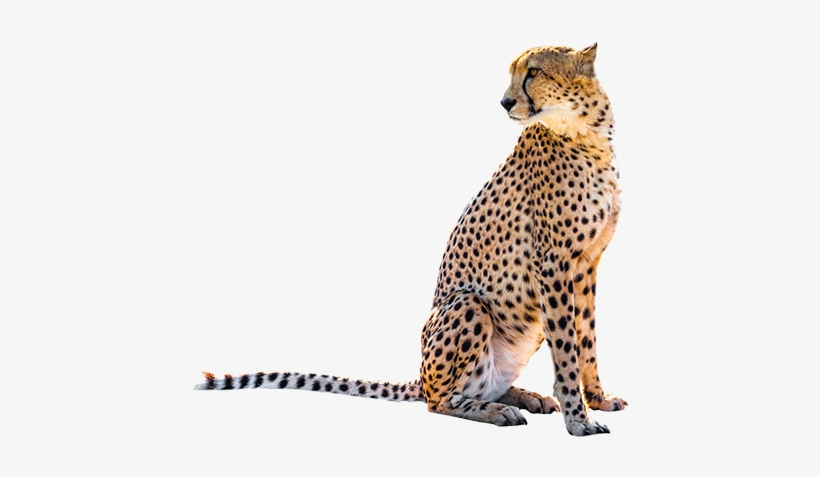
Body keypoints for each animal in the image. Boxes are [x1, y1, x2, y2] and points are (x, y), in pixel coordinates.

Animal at [195, 43, 628, 436]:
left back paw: (525, 396)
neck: (587, 134)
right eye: (513, 73)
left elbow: (585, 338)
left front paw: (597, 400)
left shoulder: (584, 266)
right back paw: (498, 410)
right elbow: (568, 349)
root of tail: (420, 376)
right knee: (440, 400)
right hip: (469, 304)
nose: (505, 102)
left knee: (480, 386)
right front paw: (578, 420)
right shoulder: (552, 265)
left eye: (534, 72)